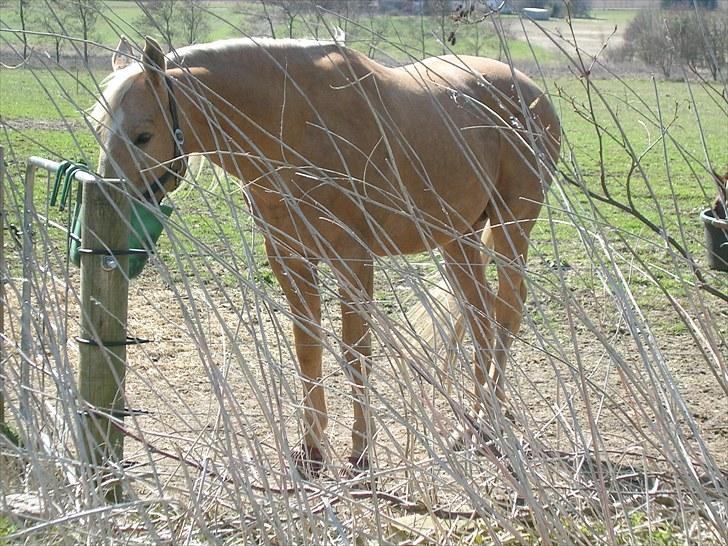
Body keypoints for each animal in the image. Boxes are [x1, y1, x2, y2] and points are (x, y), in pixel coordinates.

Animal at [91, 36, 560, 474]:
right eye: (99, 130)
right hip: (459, 237)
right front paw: (312, 452)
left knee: (507, 311)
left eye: (143, 135)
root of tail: (530, 90)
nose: (107, 206)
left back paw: (489, 420)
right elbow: (308, 349)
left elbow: (356, 353)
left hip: (511, 227)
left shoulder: (353, 261)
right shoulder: (290, 260)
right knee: (480, 317)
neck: (295, 123)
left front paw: (361, 453)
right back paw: (473, 424)